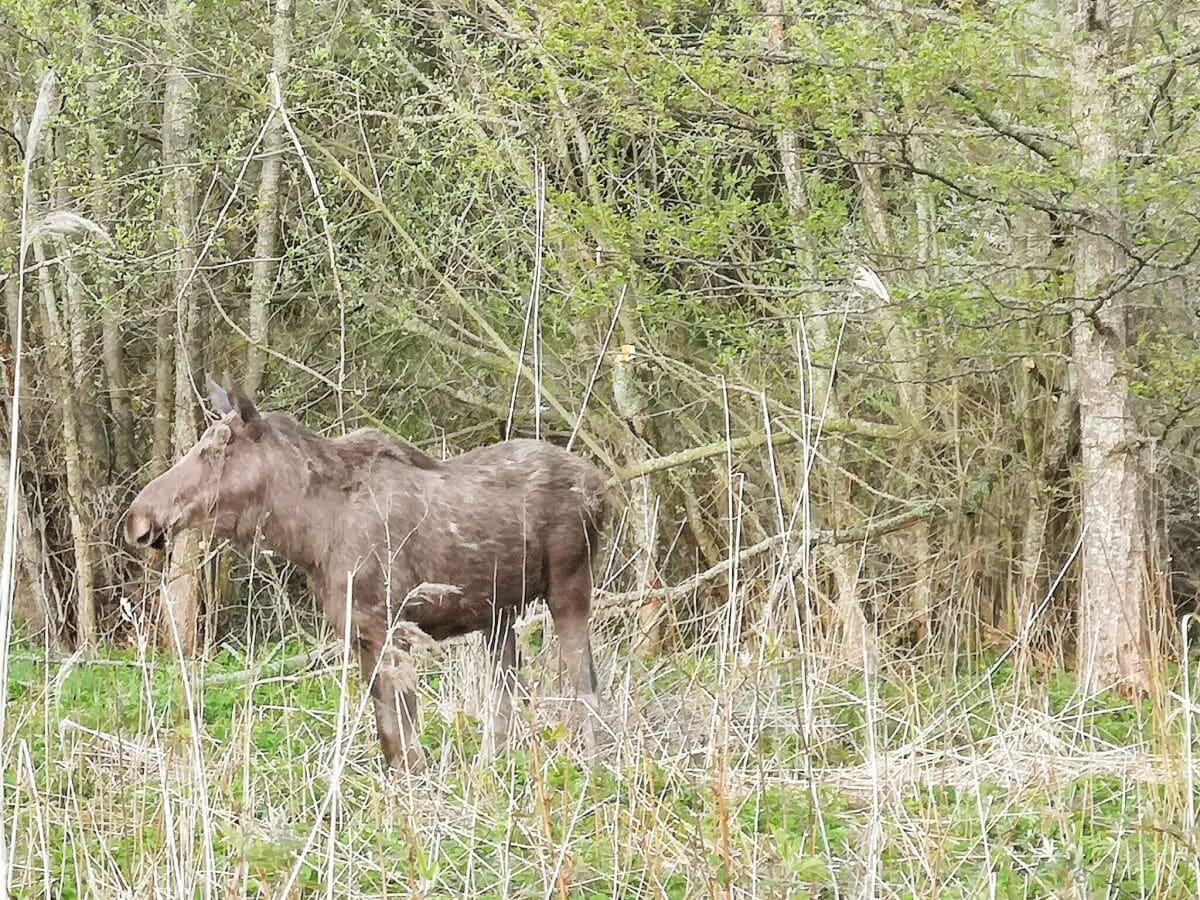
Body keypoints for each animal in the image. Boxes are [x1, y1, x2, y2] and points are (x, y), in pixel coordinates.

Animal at [126, 376, 609, 772]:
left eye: (215, 448)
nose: (138, 518)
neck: (309, 534)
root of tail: (604, 489)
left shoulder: (388, 624)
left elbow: (403, 735)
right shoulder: (358, 631)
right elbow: (388, 734)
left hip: (569, 585)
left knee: (585, 679)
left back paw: (597, 766)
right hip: (499, 613)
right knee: (505, 694)